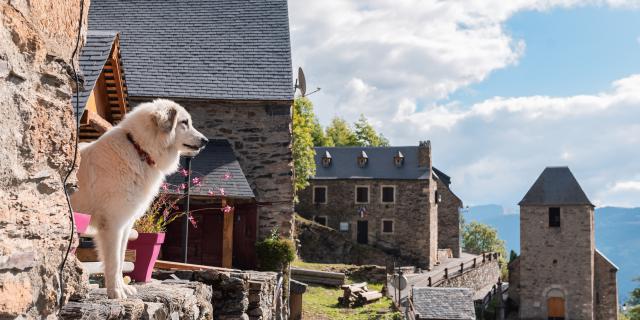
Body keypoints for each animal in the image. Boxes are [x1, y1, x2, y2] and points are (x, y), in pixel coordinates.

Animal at [72, 99, 208, 298]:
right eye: (184, 122)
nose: (206, 141)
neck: (139, 150)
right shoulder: (113, 224)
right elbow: (114, 261)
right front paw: (115, 292)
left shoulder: (125, 225)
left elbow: (121, 260)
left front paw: (122, 287)